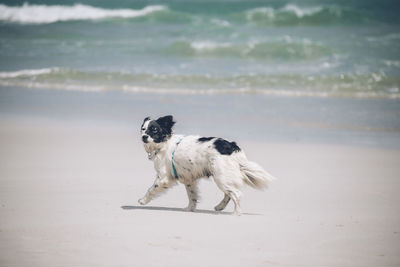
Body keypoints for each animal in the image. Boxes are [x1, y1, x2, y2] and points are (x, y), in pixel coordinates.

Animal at [138, 115, 276, 216]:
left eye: (154, 130)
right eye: (143, 129)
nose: (144, 137)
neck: (164, 143)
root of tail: (232, 146)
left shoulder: (163, 178)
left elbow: (151, 189)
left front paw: (142, 201)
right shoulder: (189, 179)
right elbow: (192, 196)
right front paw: (189, 209)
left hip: (220, 176)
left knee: (236, 194)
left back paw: (236, 214)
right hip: (223, 177)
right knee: (229, 194)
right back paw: (220, 207)